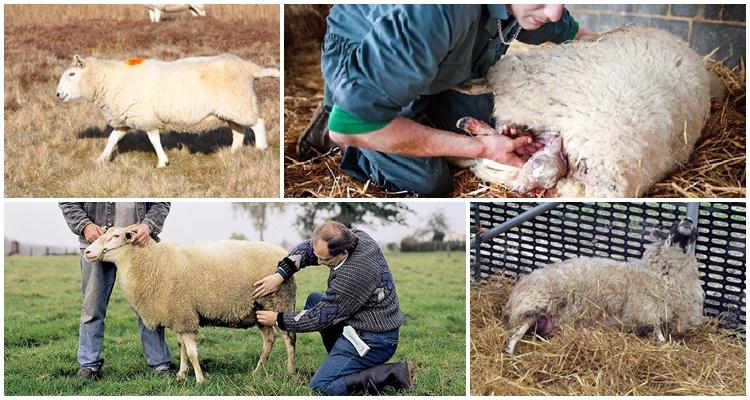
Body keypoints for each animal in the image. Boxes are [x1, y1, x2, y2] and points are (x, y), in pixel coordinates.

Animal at [55, 53, 279, 168]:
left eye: (72, 74)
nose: (57, 94)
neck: (110, 80)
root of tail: (247, 66)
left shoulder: (144, 116)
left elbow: (154, 140)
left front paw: (162, 162)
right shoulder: (126, 117)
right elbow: (112, 139)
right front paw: (101, 159)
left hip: (241, 103)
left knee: (258, 123)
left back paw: (261, 149)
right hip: (231, 109)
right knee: (239, 131)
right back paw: (232, 153)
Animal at [83, 226, 296, 383]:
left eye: (116, 236)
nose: (87, 251)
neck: (153, 264)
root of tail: (281, 252)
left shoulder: (186, 318)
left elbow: (192, 352)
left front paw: (200, 379)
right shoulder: (179, 316)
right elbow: (181, 348)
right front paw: (182, 374)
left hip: (279, 302)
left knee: (289, 338)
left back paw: (290, 370)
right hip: (260, 309)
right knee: (269, 339)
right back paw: (258, 370)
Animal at [503, 217, 705, 355]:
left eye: (695, 233)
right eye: (672, 226)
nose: (687, 220)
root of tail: (519, 287)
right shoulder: (647, 305)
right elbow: (656, 328)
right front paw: (663, 343)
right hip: (533, 306)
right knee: (514, 334)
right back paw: (509, 352)